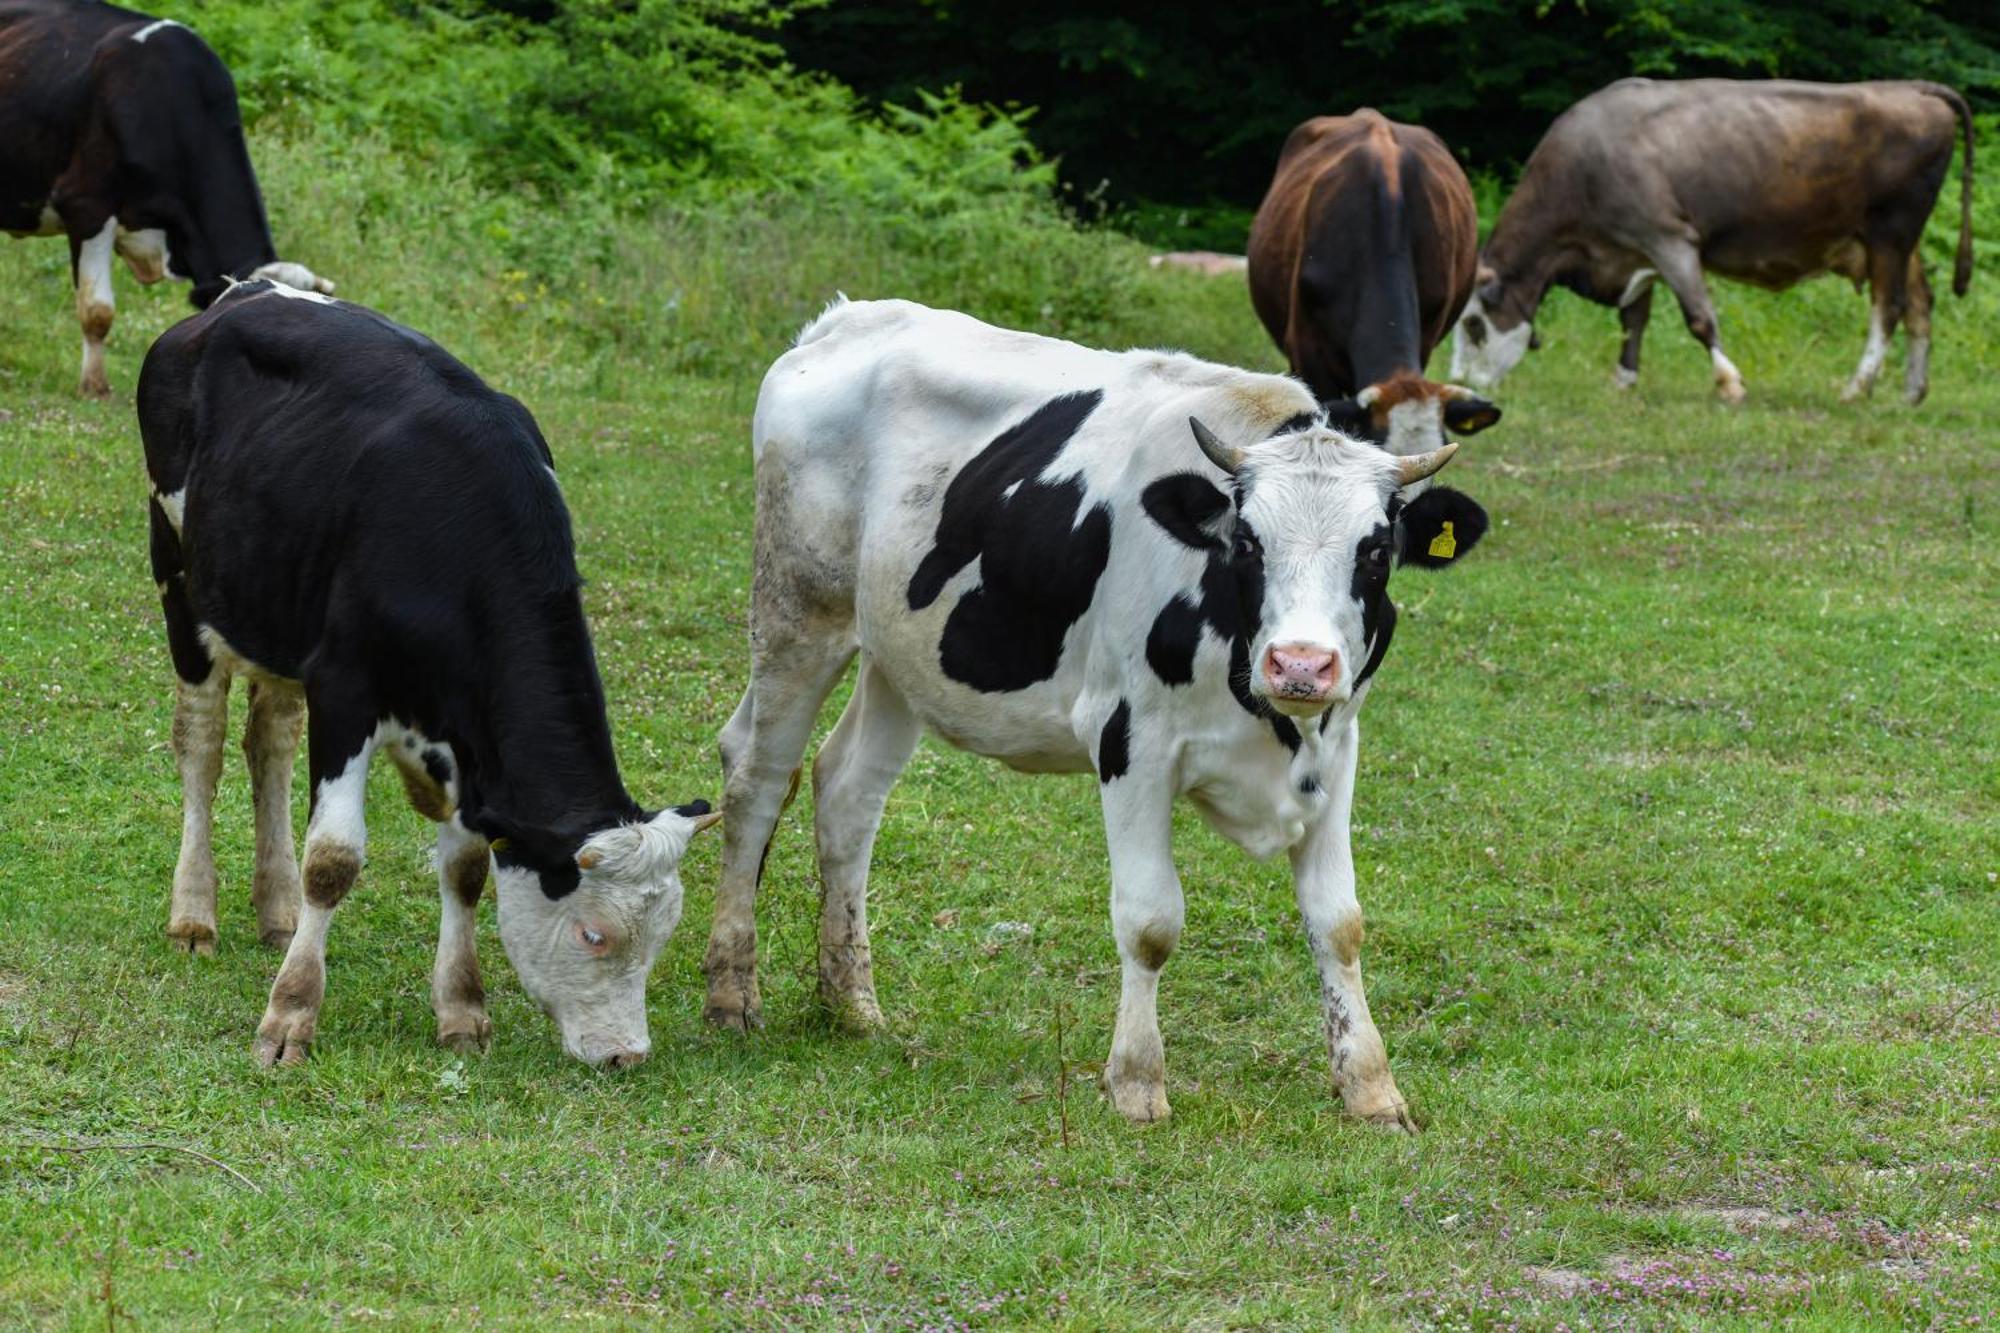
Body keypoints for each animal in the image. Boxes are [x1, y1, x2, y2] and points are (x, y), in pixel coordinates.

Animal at [135, 282, 712, 1072]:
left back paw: (277, 909)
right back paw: (194, 913)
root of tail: (237, 295)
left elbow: (466, 867)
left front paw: (462, 1009)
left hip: (274, 610)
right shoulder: (344, 684)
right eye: (594, 933)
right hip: (180, 579)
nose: (627, 1054)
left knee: (269, 743)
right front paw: (290, 1015)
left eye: (665, 934)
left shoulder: (470, 738)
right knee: (202, 743)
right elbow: (333, 860)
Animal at [696, 296, 1496, 1128]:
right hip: (797, 609)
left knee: (848, 791)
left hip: (900, 652)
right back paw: (733, 993)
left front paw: (1371, 1086)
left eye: (1375, 551)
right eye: (1247, 541)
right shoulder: (1130, 740)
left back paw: (852, 1002)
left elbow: (1339, 921)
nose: (1301, 664)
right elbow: (1150, 920)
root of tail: (846, 319)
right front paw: (1137, 1081)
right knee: (757, 777)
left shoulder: (1336, 745)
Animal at [1448, 76, 1976, 400]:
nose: (1456, 383)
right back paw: (1912, 391)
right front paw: (1624, 380)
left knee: (1888, 308)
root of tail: (1911, 87)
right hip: (1899, 242)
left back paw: (1857, 387)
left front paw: (1730, 383)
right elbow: (1633, 320)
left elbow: (1699, 318)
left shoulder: (1669, 237)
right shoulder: (1633, 252)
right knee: (1920, 304)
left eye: (1473, 324)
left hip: (1891, 230)